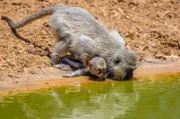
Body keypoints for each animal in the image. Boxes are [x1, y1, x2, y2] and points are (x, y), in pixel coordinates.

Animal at [1, 5, 137, 80]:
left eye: (133, 69)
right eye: (129, 70)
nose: (131, 77)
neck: (114, 52)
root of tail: (64, 8)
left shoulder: (119, 42)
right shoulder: (95, 50)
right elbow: (82, 43)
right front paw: (85, 66)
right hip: (58, 21)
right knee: (69, 38)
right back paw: (56, 61)